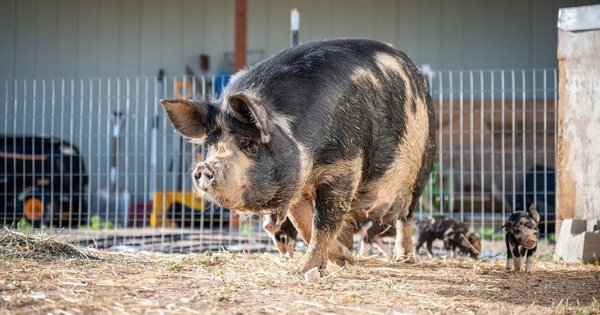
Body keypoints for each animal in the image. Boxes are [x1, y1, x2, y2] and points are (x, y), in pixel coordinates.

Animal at [162, 38, 436, 272]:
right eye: (210, 145)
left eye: (248, 143)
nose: (204, 168)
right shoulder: (297, 184)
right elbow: (305, 225)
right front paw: (342, 261)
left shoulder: (345, 166)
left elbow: (323, 223)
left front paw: (303, 271)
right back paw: (351, 258)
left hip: (423, 166)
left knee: (405, 218)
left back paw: (404, 259)